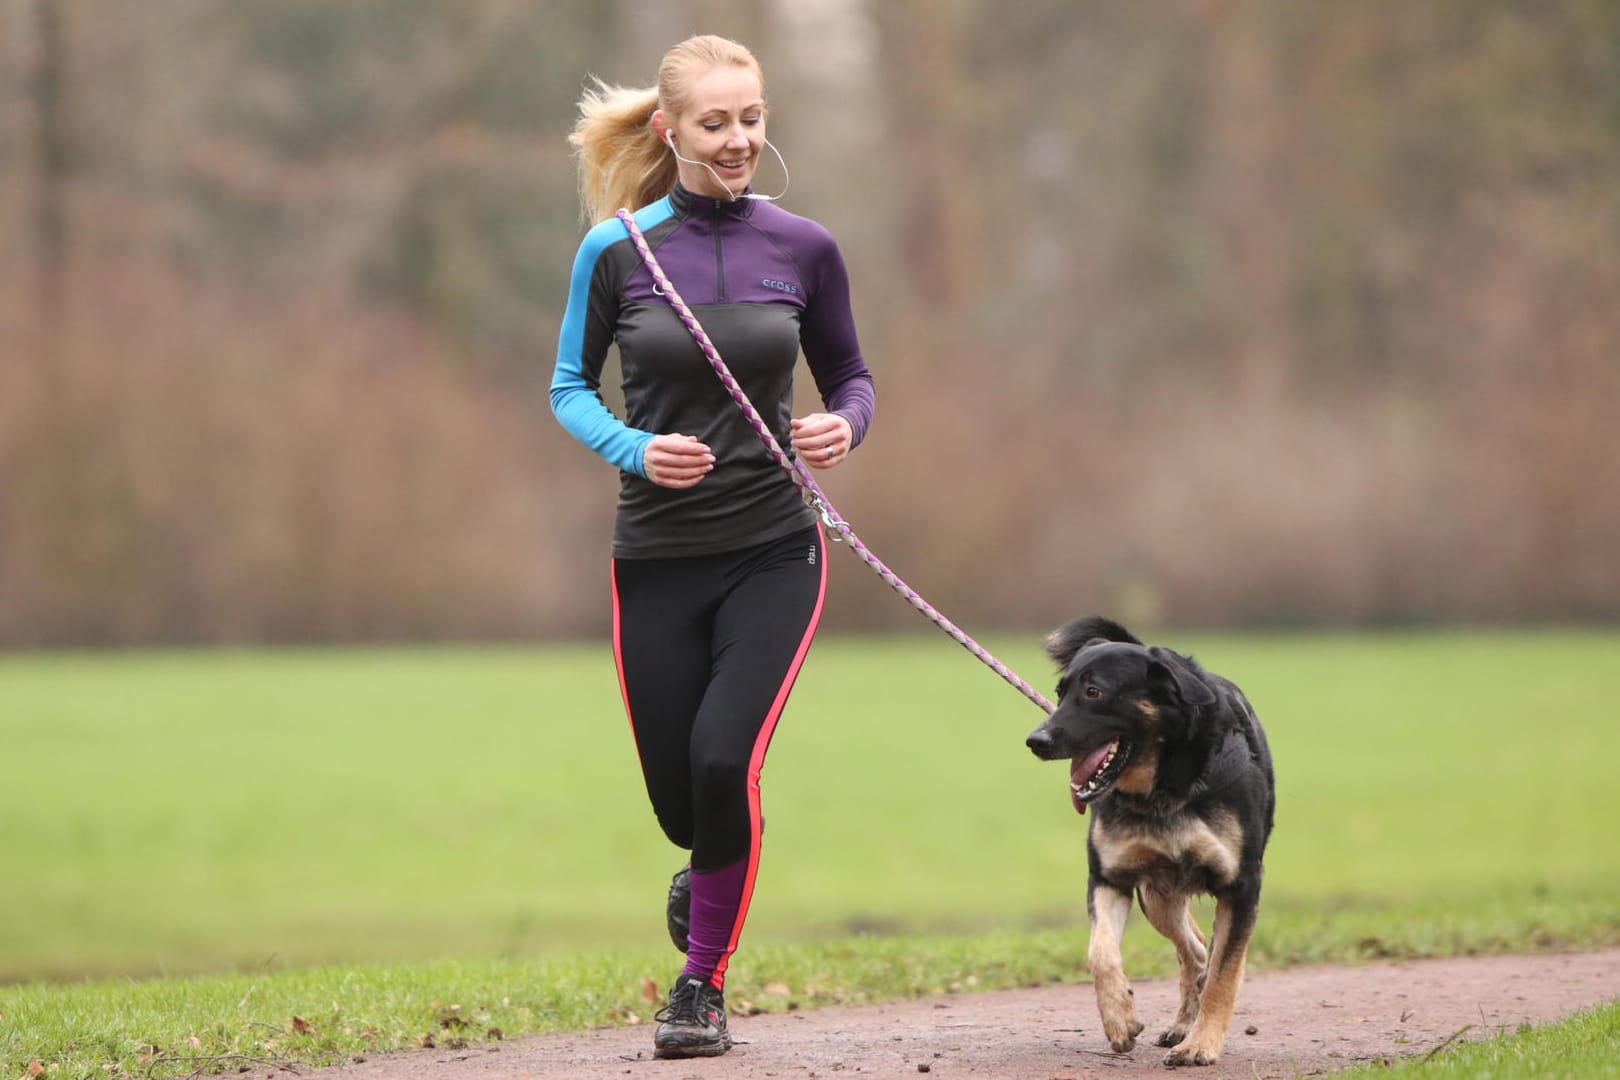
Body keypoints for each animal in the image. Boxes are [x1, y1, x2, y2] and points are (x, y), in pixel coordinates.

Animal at [1023, 621, 1276, 1068]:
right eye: (1060, 692)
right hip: (1157, 896)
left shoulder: (1242, 887)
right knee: (1194, 952)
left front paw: (1201, 1044)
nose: (1036, 740)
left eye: (1094, 692)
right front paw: (1120, 1019)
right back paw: (1180, 1023)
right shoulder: (1110, 878)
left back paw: (1189, 1029)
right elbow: (1100, 953)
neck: (1161, 789)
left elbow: (1224, 975)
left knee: (1206, 959)